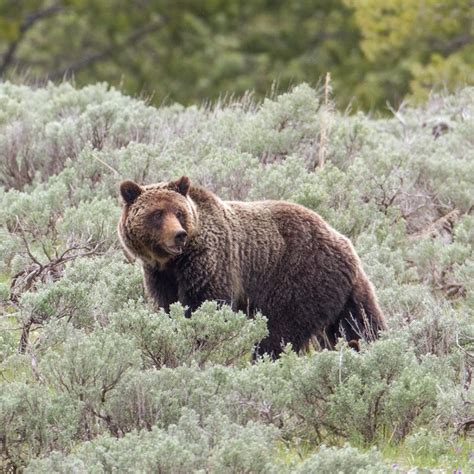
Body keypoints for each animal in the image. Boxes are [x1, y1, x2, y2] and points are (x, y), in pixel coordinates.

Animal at [117, 177, 386, 356]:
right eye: (157, 214)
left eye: (179, 212)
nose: (179, 235)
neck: (173, 262)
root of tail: (345, 243)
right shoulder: (161, 276)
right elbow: (168, 306)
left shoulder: (211, 263)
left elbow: (206, 305)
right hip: (342, 292)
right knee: (359, 324)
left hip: (299, 279)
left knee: (280, 331)